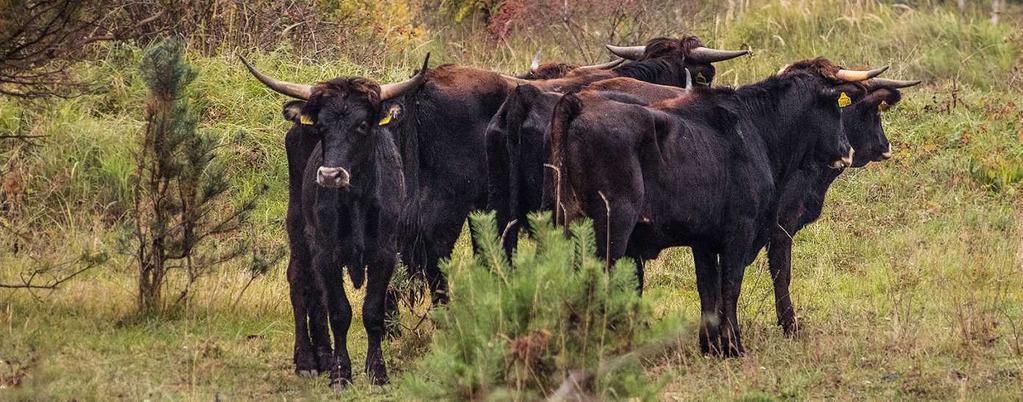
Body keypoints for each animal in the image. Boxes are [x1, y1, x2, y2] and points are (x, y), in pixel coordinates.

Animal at [552, 58, 887, 353]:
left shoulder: (703, 240)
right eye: (834, 106)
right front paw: (734, 345)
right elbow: (731, 285)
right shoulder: (741, 231)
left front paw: (711, 345)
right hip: (612, 229)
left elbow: (708, 289)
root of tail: (578, 104)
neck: (756, 129)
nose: (847, 151)